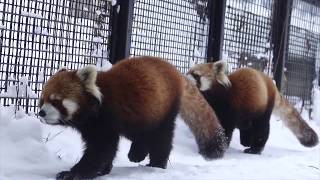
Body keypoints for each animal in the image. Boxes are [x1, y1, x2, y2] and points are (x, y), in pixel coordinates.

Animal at [38, 56, 226, 180]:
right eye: (42, 99)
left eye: (55, 101)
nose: (41, 113)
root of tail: (174, 70)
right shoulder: (95, 125)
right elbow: (106, 149)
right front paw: (103, 170)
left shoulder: (107, 118)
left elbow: (99, 149)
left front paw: (74, 172)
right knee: (142, 135)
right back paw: (138, 153)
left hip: (162, 109)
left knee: (160, 138)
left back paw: (155, 164)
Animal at [186, 61, 318, 154]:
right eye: (188, 72)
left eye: (196, 75)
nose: (185, 78)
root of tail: (273, 85)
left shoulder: (228, 109)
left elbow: (225, 129)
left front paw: (217, 148)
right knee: (247, 127)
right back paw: (246, 141)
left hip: (263, 107)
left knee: (262, 128)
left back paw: (254, 149)